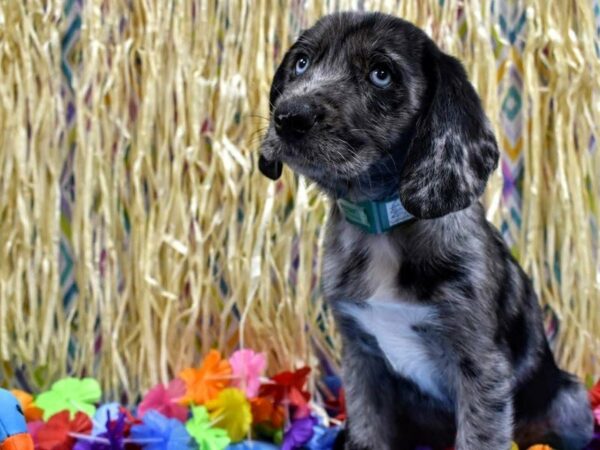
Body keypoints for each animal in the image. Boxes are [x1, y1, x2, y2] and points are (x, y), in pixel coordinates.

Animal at [258, 10, 596, 450]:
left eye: (381, 74)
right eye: (300, 63)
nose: (289, 117)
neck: (382, 226)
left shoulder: (481, 368)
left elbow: (478, 438)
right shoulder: (361, 359)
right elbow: (367, 433)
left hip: (571, 401)